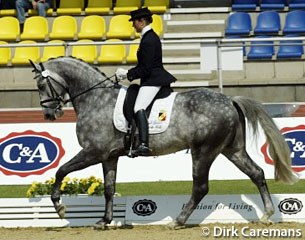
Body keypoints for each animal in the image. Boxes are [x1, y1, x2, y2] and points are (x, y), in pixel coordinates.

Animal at [30, 56, 296, 229]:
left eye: (42, 85)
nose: (49, 115)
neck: (95, 98)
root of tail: (229, 100)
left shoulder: (93, 152)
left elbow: (61, 171)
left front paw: (59, 207)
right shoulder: (109, 156)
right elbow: (108, 188)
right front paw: (104, 221)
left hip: (204, 151)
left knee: (200, 187)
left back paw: (178, 221)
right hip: (232, 150)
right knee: (257, 173)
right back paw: (266, 215)